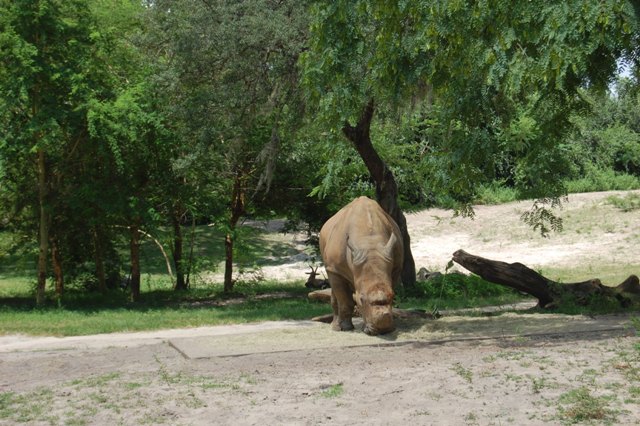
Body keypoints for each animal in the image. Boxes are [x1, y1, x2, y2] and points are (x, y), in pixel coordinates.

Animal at [319, 196, 404, 335]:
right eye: (361, 299)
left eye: (393, 296)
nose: (383, 330)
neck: (369, 242)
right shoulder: (335, 268)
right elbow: (345, 300)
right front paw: (346, 328)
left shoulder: (396, 266)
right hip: (327, 253)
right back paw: (336, 327)